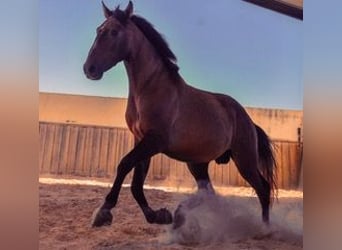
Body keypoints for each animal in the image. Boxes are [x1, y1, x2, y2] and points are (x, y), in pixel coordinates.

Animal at [83, 1, 278, 229]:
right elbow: (136, 184)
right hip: (197, 164)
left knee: (263, 189)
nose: (89, 69)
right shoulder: (141, 140)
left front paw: (103, 211)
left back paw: (265, 227)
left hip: (244, 160)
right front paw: (157, 215)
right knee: (209, 193)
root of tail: (248, 120)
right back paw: (181, 215)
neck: (151, 88)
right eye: (98, 30)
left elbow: (124, 165)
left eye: (114, 32)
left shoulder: (154, 141)